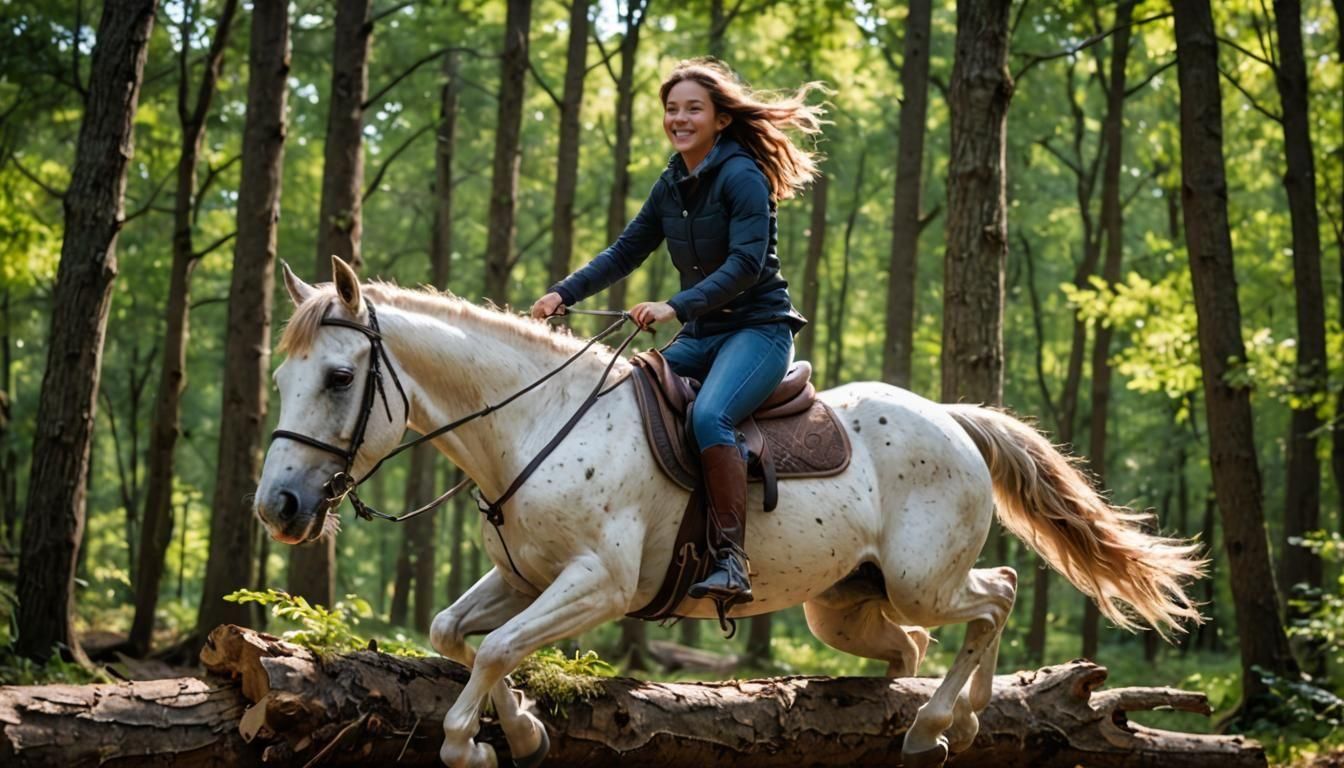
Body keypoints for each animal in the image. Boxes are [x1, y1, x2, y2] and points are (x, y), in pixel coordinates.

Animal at [255, 257, 1205, 768]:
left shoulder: (599, 585)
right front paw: (520, 730)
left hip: (920, 579)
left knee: (996, 593)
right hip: (844, 609)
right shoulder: (523, 578)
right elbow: (457, 636)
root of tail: (955, 418)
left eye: (337, 377)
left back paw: (942, 724)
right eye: (281, 377)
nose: (279, 507)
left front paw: (475, 740)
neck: (536, 423)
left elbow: (492, 650)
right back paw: (947, 714)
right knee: (918, 642)